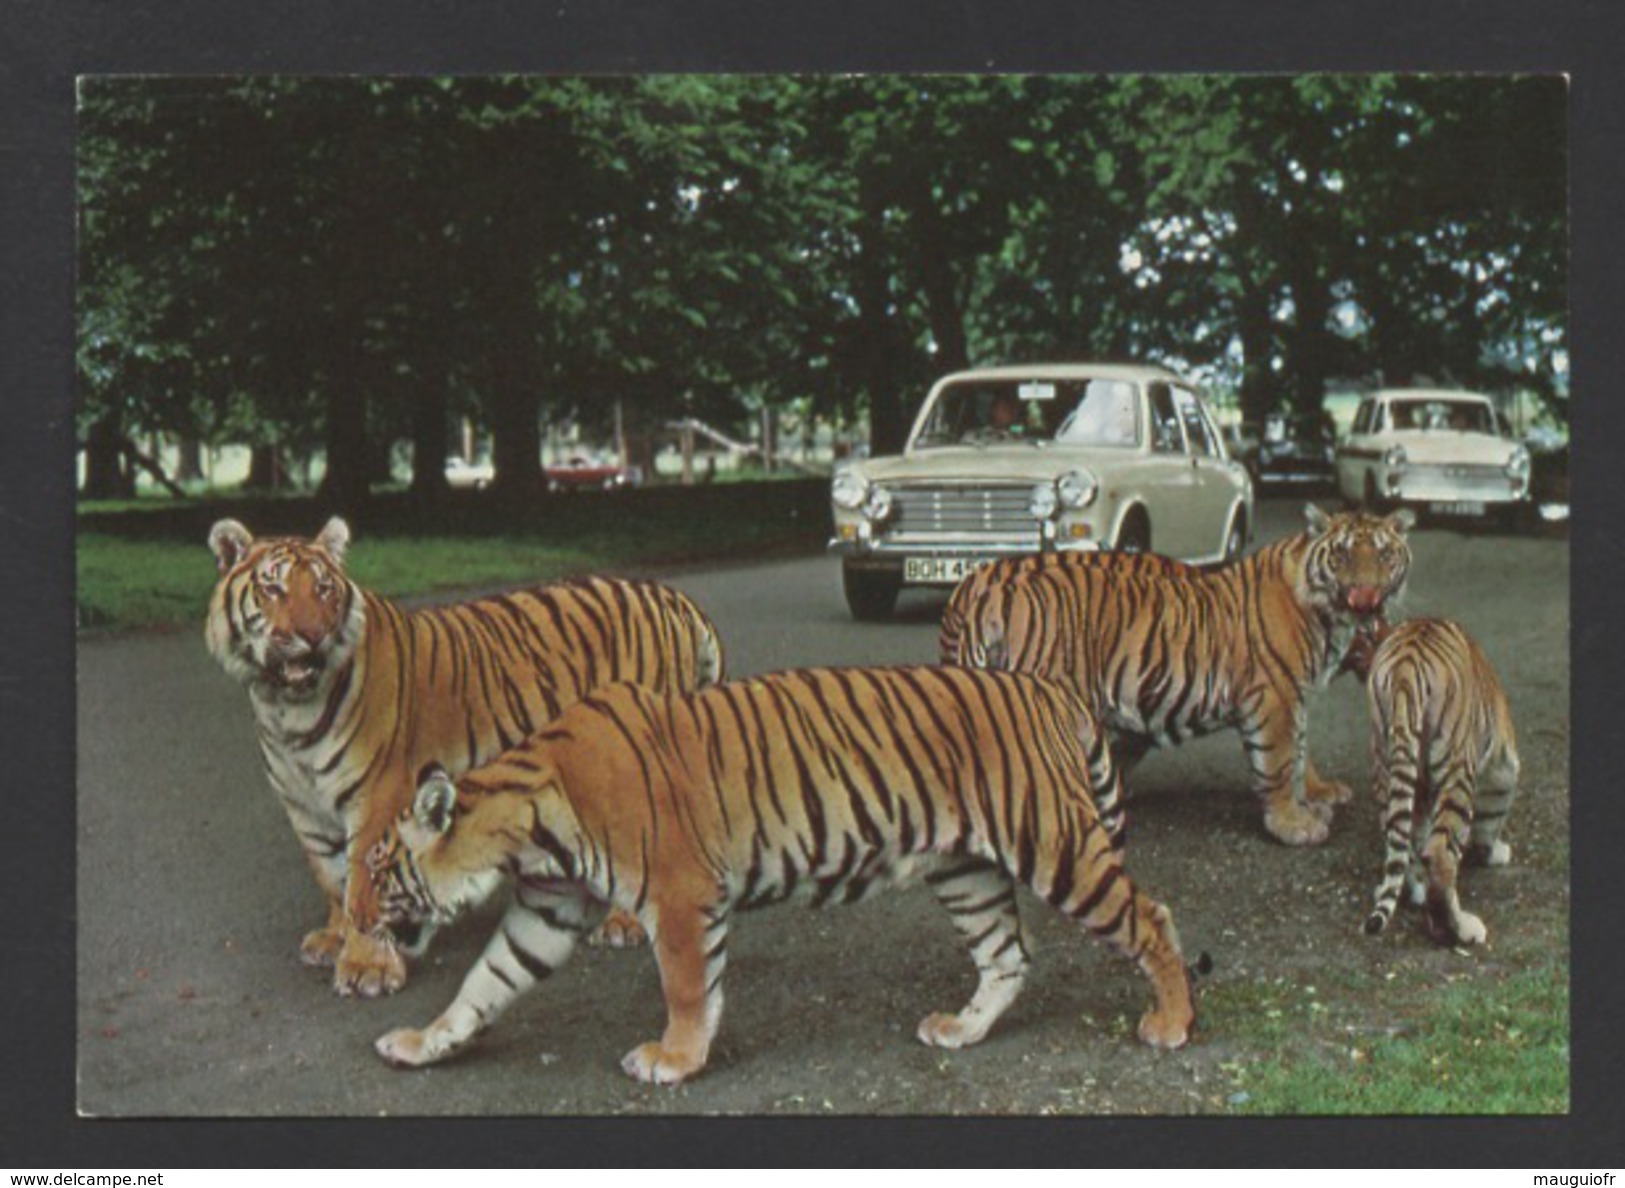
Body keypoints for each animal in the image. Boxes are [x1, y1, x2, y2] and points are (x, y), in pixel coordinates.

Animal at [204, 516, 724, 1001]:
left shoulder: (376, 797)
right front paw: (334, 939)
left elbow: (360, 881)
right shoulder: (305, 809)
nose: (312, 635)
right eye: (273, 588)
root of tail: (675, 598)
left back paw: (622, 923)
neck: (284, 706)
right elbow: (331, 877)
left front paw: (368, 966)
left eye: (324, 589)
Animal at [359, 669, 1196, 1085]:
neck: (524, 832)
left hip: (1054, 844)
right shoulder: (547, 911)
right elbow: (482, 983)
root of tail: (1049, 688)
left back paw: (1172, 1024)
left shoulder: (681, 894)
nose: (365, 924)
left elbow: (687, 987)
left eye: (376, 869)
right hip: (967, 870)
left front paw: (674, 1060)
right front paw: (423, 1043)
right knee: (1006, 956)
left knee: (1151, 918)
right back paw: (962, 1029)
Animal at [936, 507, 1417, 851]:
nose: (1366, 598)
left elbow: (1298, 755)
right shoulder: (1275, 696)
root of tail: (979, 589)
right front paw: (1292, 823)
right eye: (1342, 555)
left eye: (1385, 555)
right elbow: (1282, 762)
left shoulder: (1290, 696)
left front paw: (1310, 801)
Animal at [1339, 617, 1514, 942]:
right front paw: (1496, 852)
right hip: (1457, 771)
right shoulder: (1501, 766)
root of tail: (1405, 670)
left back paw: (1414, 891)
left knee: (1402, 841)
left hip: (1385, 767)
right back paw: (1461, 929)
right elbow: (1491, 817)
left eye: (1356, 650)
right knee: (1440, 854)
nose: (1348, 665)